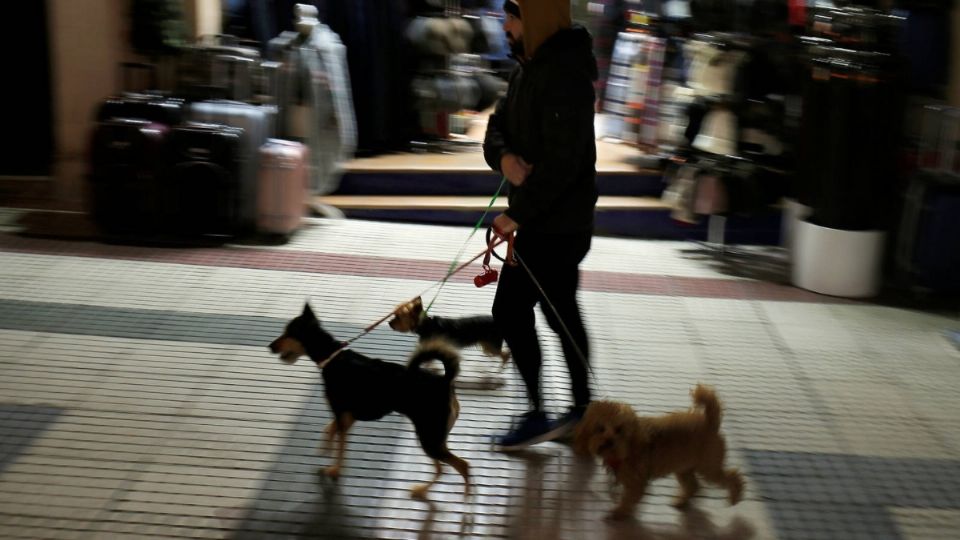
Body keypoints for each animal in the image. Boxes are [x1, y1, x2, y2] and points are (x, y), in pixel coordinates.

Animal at [268, 302, 470, 500]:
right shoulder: (347, 416)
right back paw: (422, 490)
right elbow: (330, 430)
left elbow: (340, 447)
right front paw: (325, 447)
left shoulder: (341, 413)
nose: (270, 346)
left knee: (462, 465)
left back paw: (466, 500)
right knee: (443, 468)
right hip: (433, 437)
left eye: (288, 333)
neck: (332, 357)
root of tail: (445, 381)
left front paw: (334, 469)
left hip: (429, 438)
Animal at [572, 384, 748, 520]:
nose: (609, 442)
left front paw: (618, 512)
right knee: (693, 486)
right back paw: (681, 502)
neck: (629, 447)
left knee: (733, 477)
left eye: (619, 430)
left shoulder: (636, 483)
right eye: (600, 428)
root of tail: (710, 422)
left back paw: (735, 496)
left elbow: (628, 500)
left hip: (708, 468)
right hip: (684, 468)